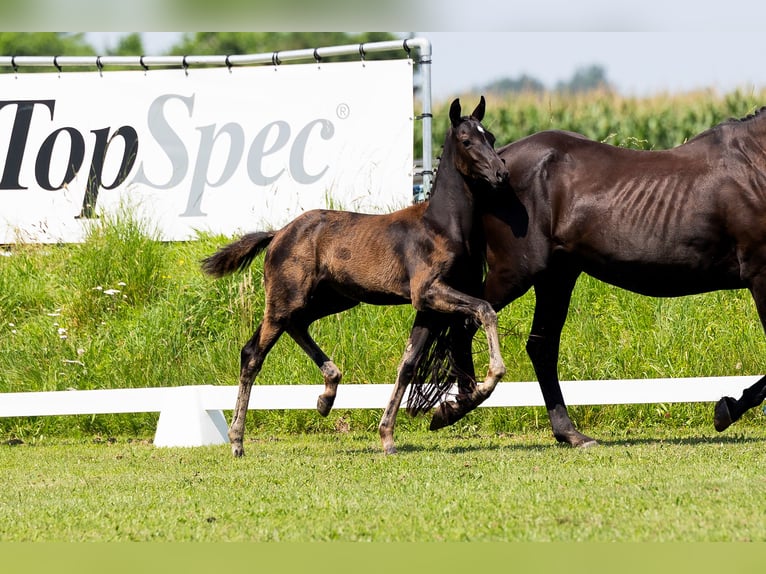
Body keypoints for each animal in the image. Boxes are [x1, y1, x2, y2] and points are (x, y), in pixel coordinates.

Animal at [202, 99, 510, 460]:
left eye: (490, 136)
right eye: (466, 140)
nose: (501, 174)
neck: (442, 226)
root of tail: (278, 234)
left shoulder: (428, 307)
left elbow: (408, 364)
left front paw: (387, 436)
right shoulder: (429, 292)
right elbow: (485, 309)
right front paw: (491, 378)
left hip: (332, 299)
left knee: (297, 325)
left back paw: (326, 396)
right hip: (286, 299)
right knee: (253, 353)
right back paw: (237, 440)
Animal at [426, 109, 766, 450]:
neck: (753, 164)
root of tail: (499, 165)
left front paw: (729, 407)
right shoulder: (759, 275)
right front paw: (727, 410)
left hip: (556, 277)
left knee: (540, 348)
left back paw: (569, 433)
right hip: (514, 274)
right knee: (467, 321)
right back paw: (459, 405)